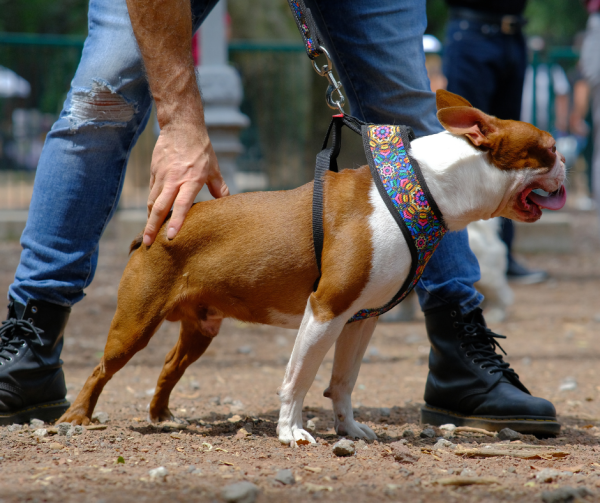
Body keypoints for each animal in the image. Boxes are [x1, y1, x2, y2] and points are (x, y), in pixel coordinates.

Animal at [58, 90, 564, 444]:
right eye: (549, 147)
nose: (565, 161)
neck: (422, 187)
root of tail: (159, 226)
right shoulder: (326, 309)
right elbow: (298, 378)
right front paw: (290, 431)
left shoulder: (360, 320)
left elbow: (342, 381)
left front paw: (348, 429)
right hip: (136, 322)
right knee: (100, 369)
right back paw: (76, 417)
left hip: (202, 328)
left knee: (168, 366)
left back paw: (161, 414)